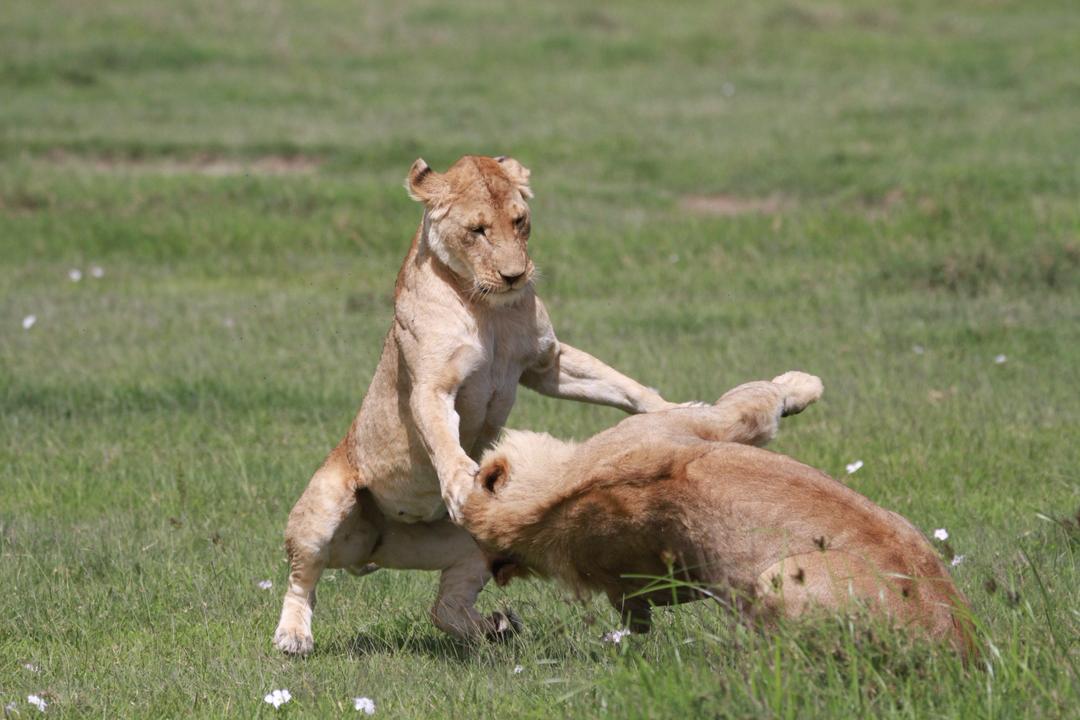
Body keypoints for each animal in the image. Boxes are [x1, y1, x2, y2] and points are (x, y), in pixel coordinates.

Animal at [273, 155, 688, 655]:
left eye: (520, 221)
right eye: (477, 230)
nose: (515, 276)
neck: (488, 308)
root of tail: (371, 551)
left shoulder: (547, 363)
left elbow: (620, 384)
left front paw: (675, 409)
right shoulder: (431, 387)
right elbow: (442, 438)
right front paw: (457, 483)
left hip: (475, 542)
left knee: (444, 608)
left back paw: (497, 628)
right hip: (324, 506)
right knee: (302, 580)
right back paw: (293, 636)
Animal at [461, 372, 977, 656]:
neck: (553, 500)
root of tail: (958, 651)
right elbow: (757, 401)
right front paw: (802, 383)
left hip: (903, 525)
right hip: (781, 577)